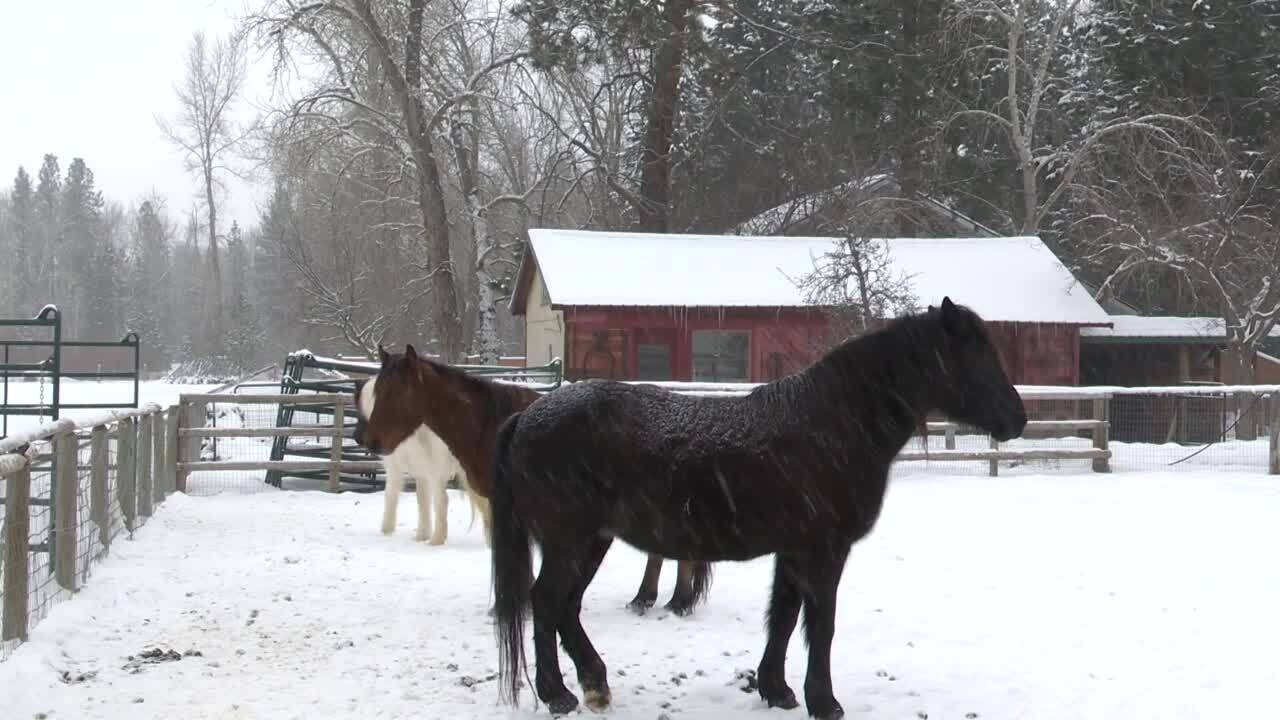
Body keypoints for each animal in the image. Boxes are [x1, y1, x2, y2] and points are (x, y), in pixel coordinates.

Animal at [485, 298, 1028, 719]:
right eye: (975, 358)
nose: (1017, 419)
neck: (834, 424)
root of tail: (527, 416)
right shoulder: (824, 551)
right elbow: (820, 624)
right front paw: (823, 702)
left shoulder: (793, 552)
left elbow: (783, 616)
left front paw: (776, 689)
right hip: (569, 540)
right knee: (546, 602)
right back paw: (559, 695)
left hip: (590, 541)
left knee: (565, 606)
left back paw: (594, 684)